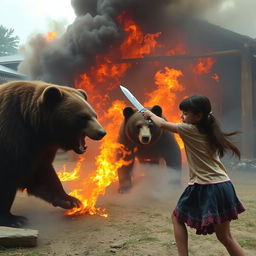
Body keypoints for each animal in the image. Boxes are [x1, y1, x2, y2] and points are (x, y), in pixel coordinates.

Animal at [0, 79, 106, 226]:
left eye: (94, 115)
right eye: (83, 117)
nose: (101, 132)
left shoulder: (39, 149)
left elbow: (43, 174)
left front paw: (71, 200)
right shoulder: (13, 137)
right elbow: (8, 177)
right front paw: (13, 219)